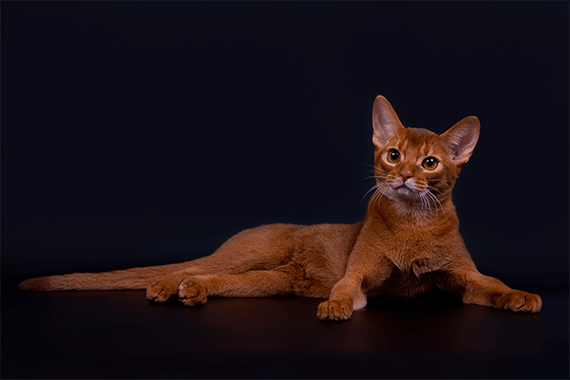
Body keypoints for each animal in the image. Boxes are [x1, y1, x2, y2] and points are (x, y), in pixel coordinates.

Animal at [18, 95, 540, 320]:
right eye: (393, 155)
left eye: (429, 162)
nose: (405, 175)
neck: (412, 224)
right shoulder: (360, 272)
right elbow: (347, 289)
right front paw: (336, 307)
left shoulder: (463, 277)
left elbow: (491, 285)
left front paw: (522, 297)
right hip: (252, 254)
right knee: (188, 267)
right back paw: (166, 286)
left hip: (270, 280)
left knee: (213, 277)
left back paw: (193, 291)